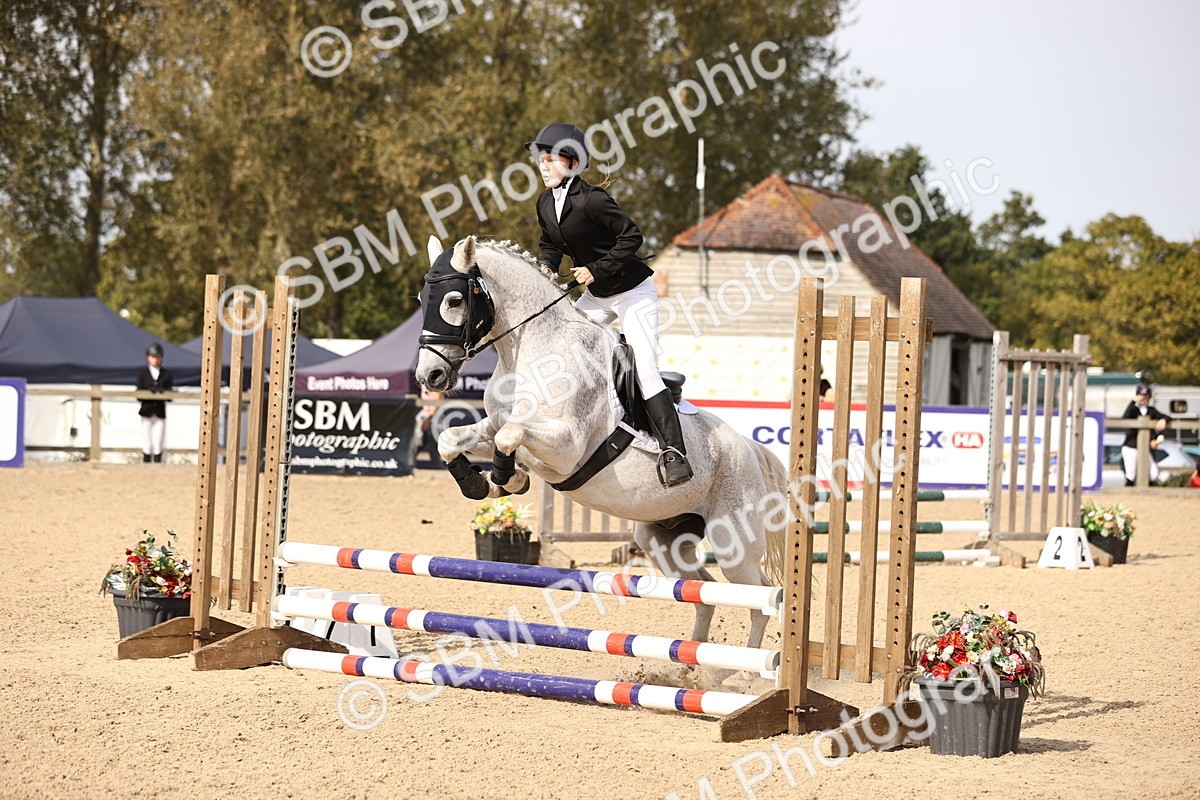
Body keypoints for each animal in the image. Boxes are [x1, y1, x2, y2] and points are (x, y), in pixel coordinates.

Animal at [415, 235, 789, 652]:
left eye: (453, 300)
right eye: (421, 298)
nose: (430, 376)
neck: (531, 350)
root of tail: (749, 448)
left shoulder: (566, 446)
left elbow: (509, 436)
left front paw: (507, 478)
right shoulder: (493, 427)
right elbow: (453, 439)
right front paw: (481, 483)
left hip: (733, 543)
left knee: (759, 599)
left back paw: (743, 666)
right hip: (662, 539)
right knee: (702, 592)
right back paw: (693, 664)